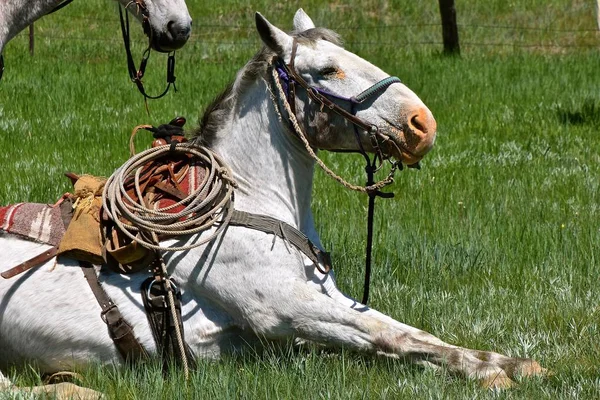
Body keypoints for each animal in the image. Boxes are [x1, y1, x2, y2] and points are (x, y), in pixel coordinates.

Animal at [0, 8, 544, 396]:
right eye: (327, 69)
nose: (422, 124)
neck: (249, 205)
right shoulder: (286, 308)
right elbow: (386, 334)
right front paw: (491, 372)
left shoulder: (323, 302)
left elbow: (401, 331)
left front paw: (511, 363)